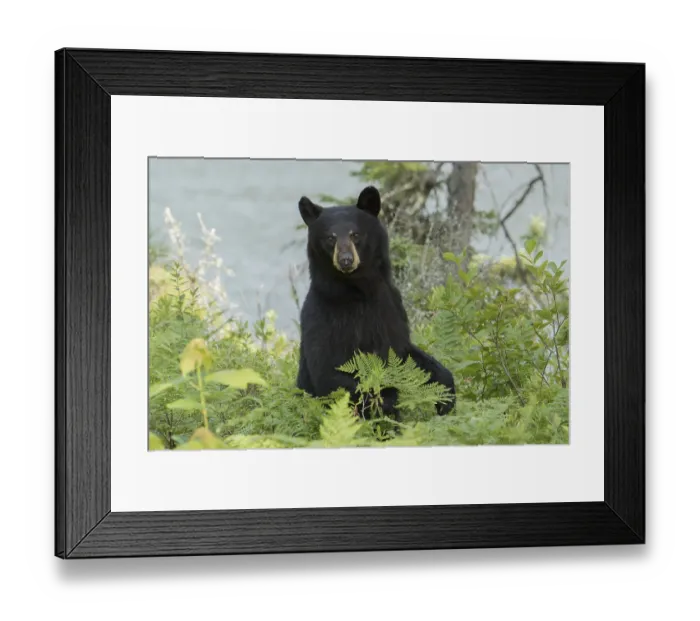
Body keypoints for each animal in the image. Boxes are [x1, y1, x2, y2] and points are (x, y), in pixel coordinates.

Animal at [295, 184, 456, 419]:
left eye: (355, 234)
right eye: (330, 238)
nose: (345, 260)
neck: (358, 292)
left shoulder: (391, 308)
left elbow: (407, 351)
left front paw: (446, 399)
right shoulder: (323, 319)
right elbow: (329, 371)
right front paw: (389, 403)